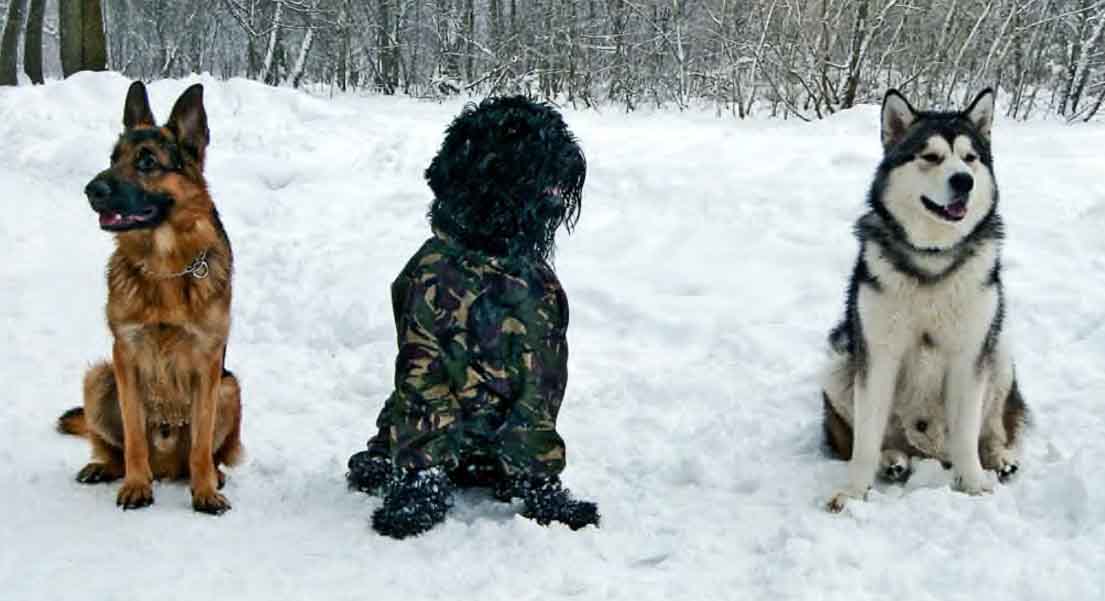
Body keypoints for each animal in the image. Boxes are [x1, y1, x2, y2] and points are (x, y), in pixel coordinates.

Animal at [57, 82, 243, 514]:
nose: (92, 190)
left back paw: (211, 475)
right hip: (100, 376)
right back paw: (106, 468)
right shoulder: (125, 355)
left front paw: (205, 491)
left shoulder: (209, 363)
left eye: (146, 162)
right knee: (113, 447)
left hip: (230, 388)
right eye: (113, 158)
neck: (165, 267)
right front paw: (136, 485)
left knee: (206, 452)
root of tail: (167, 467)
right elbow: (134, 437)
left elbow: (201, 444)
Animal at [349, 96, 601, 536]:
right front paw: (411, 510)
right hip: (388, 419)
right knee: (381, 450)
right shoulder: (424, 354)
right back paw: (374, 469)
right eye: (513, 132)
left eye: (556, 127)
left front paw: (557, 506)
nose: (568, 155)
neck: (490, 253)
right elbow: (424, 441)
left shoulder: (544, 359)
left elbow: (536, 439)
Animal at [822, 87, 1025, 512]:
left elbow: (967, 433)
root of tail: (928, 452)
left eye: (970, 157)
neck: (933, 256)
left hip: (999, 353)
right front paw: (853, 492)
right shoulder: (878, 353)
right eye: (930, 156)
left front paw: (974, 484)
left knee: (993, 428)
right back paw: (892, 460)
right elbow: (865, 440)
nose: (963, 180)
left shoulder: (970, 353)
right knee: (880, 438)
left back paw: (999, 458)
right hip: (838, 360)